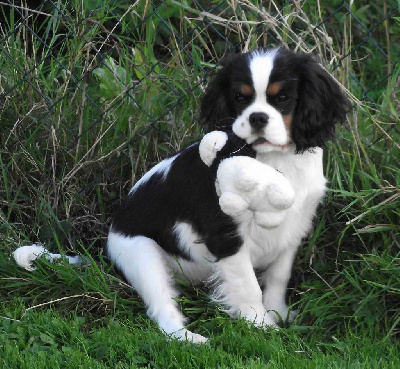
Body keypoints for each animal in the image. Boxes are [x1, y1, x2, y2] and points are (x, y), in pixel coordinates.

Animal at [14, 48, 348, 342]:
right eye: (240, 98)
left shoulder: (292, 229)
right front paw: (261, 325)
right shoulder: (226, 236)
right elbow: (248, 286)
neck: (275, 160)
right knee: (162, 312)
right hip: (143, 256)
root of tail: (107, 250)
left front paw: (277, 313)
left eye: (283, 98)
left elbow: (279, 277)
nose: (257, 118)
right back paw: (189, 339)